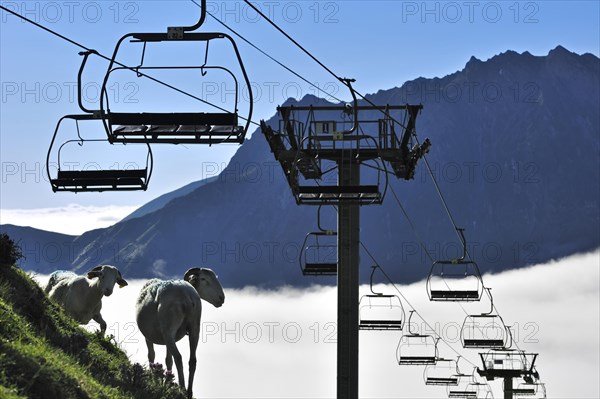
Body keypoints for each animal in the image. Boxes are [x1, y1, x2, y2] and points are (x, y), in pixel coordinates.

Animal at [136, 268, 225, 398]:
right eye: (204, 279)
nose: (221, 298)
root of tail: (187, 296)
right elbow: (168, 360)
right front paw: (166, 381)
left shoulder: (149, 336)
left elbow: (152, 355)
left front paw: (154, 379)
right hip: (194, 328)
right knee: (192, 360)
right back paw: (189, 392)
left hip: (168, 330)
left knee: (178, 357)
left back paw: (181, 388)